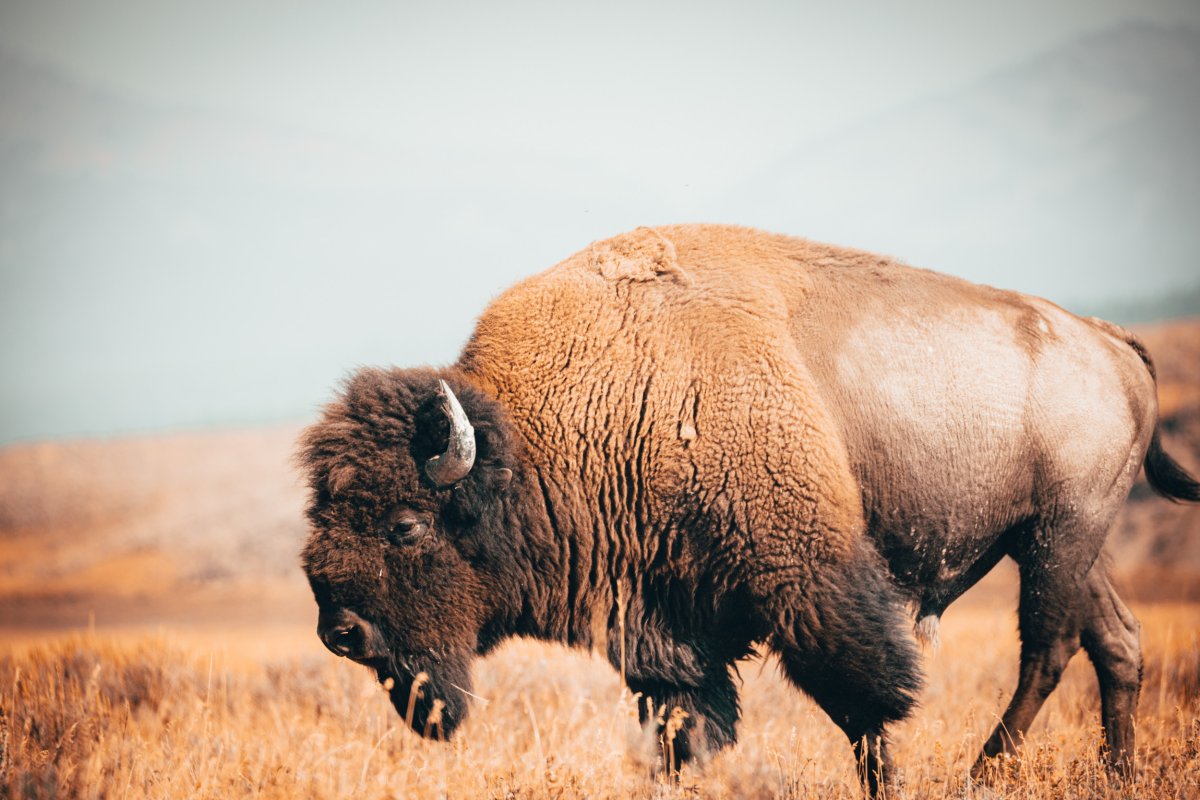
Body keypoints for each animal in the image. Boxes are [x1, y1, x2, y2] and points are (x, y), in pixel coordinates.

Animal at [300, 224, 1200, 796]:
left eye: (404, 525)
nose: (341, 631)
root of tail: (1108, 338)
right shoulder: (663, 627)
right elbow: (683, 727)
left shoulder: (810, 581)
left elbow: (867, 704)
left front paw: (890, 783)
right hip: (1066, 543)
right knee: (1116, 642)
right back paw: (1116, 775)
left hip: (1058, 536)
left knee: (1047, 647)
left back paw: (985, 773)